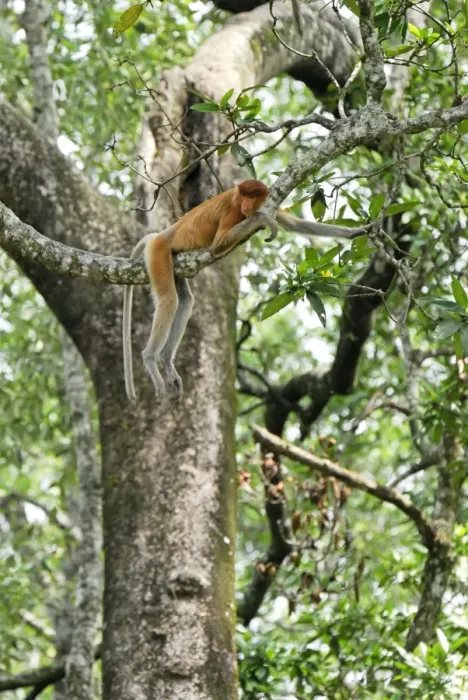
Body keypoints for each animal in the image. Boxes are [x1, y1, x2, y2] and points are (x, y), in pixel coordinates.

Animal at [123, 179, 369, 404]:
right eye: (244, 197)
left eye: (253, 196)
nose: (247, 206)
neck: (236, 198)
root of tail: (162, 234)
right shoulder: (232, 211)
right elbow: (218, 244)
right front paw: (260, 220)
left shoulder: (269, 203)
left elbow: (294, 223)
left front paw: (358, 232)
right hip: (159, 253)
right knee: (168, 300)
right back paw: (150, 358)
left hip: (173, 263)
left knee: (185, 301)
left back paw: (166, 361)